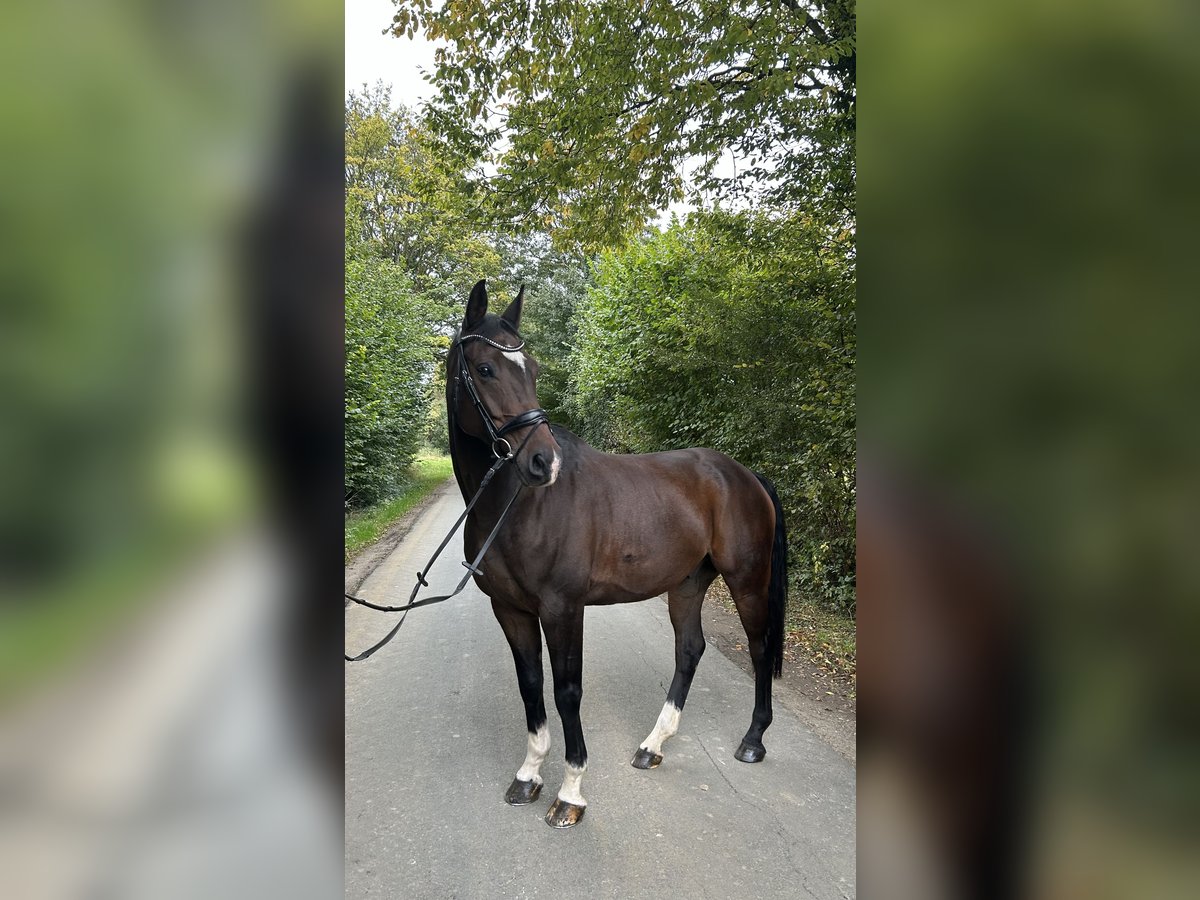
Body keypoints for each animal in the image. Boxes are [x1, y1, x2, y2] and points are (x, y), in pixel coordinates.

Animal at [451, 282, 787, 830]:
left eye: (533, 369)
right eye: (485, 369)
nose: (543, 462)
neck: (518, 505)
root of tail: (745, 475)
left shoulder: (563, 609)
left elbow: (567, 690)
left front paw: (570, 793)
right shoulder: (511, 609)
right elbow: (530, 684)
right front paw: (528, 775)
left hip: (748, 580)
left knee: (758, 650)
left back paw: (753, 741)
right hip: (689, 583)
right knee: (689, 650)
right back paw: (653, 746)